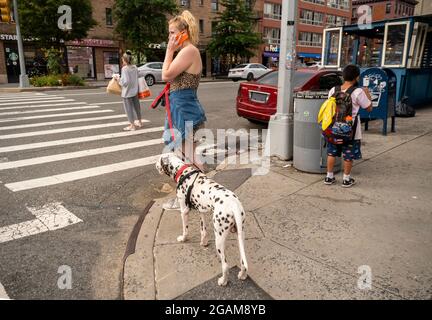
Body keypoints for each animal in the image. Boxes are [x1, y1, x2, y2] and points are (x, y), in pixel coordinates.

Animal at [157, 154, 248, 286]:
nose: (154, 165)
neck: (183, 172)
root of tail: (234, 205)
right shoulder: (202, 211)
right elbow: (203, 230)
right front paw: (203, 242)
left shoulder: (184, 211)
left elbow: (185, 229)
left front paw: (183, 238)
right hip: (240, 235)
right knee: (243, 261)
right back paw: (242, 275)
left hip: (219, 239)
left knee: (225, 265)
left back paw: (223, 281)